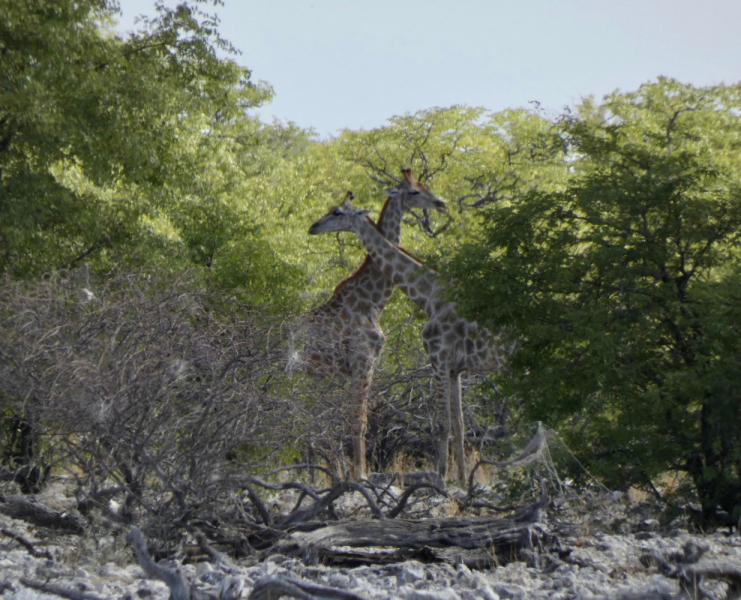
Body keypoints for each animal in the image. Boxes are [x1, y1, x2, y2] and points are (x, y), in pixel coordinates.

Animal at [294, 172, 446, 478]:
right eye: (413, 191)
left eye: (422, 187)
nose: (440, 203)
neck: (374, 300)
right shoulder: (362, 359)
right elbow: (358, 420)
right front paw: (360, 475)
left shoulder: (366, 363)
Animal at [308, 198, 516, 482]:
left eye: (337, 212)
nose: (313, 227)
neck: (430, 296)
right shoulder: (455, 369)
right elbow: (459, 425)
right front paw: (462, 481)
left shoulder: (438, 358)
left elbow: (442, 423)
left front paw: (442, 478)